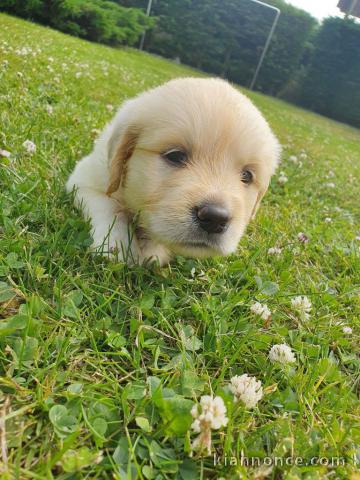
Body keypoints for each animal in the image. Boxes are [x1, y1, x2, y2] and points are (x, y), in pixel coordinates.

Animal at [67, 78, 282, 266]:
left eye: (247, 176)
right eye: (175, 156)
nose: (215, 218)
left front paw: (152, 251)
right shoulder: (85, 180)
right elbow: (108, 207)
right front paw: (116, 245)